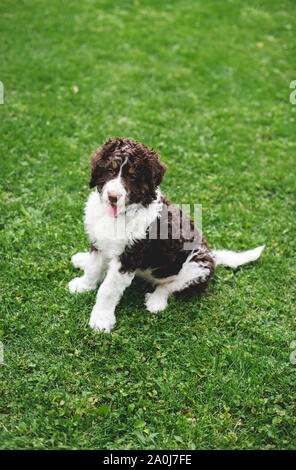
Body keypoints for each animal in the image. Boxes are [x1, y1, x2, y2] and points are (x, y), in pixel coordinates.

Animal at [68, 138, 264, 332]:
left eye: (132, 176)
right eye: (110, 170)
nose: (113, 196)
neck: (121, 214)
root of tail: (212, 256)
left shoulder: (129, 257)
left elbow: (108, 289)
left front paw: (101, 319)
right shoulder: (98, 241)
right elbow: (93, 268)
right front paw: (83, 286)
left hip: (196, 269)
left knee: (170, 287)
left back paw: (156, 301)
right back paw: (82, 259)